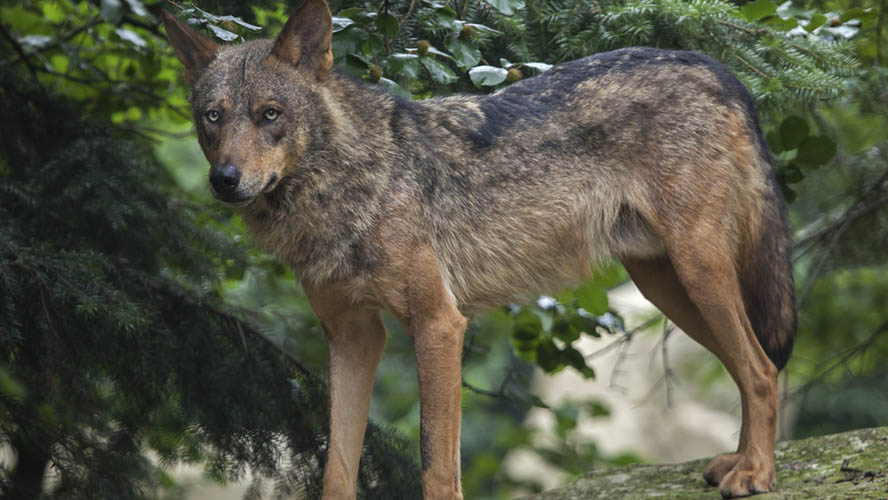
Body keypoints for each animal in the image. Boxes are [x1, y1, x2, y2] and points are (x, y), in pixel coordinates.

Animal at [161, 0, 796, 496]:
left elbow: (436, 468)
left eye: (270, 115)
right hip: (666, 286)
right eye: (212, 118)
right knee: (750, 367)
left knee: (762, 369)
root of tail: (713, 65)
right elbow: (337, 469)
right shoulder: (353, 337)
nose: (224, 179)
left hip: (697, 271)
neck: (349, 186)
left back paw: (755, 474)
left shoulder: (439, 325)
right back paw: (738, 464)